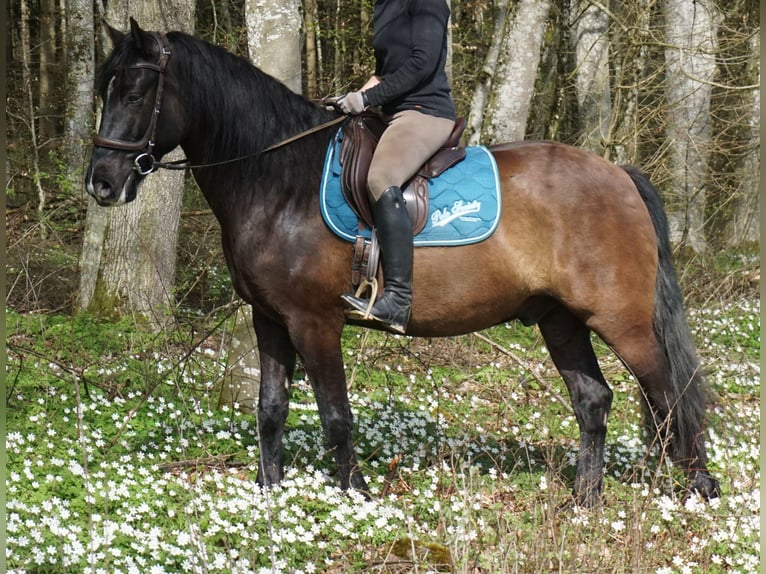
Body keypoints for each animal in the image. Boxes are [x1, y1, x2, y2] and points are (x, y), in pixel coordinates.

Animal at [87, 19, 724, 508]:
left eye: (137, 94)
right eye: (105, 90)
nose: (101, 184)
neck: (279, 181)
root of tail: (619, 174)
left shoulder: (314, 322)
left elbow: (335, 415)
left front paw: (357, 494)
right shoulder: (270, 319)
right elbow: (270, 409)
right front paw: (269, 493)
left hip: (620, 320)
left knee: (670, 395)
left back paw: (699, 489)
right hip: (559, 319)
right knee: (593, 399)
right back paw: (584, 502)